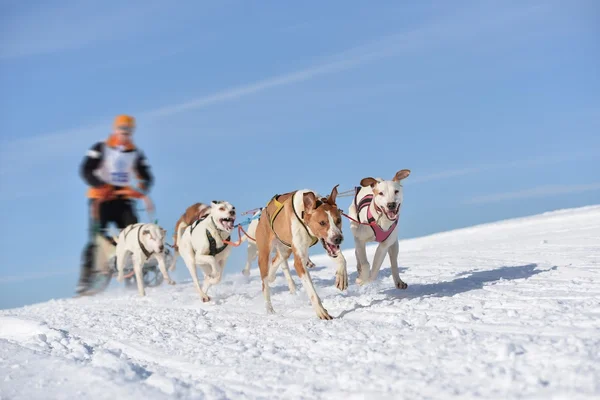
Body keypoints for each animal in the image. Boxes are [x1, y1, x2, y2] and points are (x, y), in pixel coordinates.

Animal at [253, 186, 346, 320]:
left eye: (338, 220)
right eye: (322, 222)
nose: (338, 238)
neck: (303, 214)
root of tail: (264, 211)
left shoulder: (328, 246)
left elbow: (341, 259)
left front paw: (341, 278)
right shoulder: (299, 262)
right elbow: (312, 291)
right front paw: (321, 311)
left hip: (286, 249)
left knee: (276, 260)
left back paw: (272, 276)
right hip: (264, 255)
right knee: (265, 284)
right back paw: (269, 309)